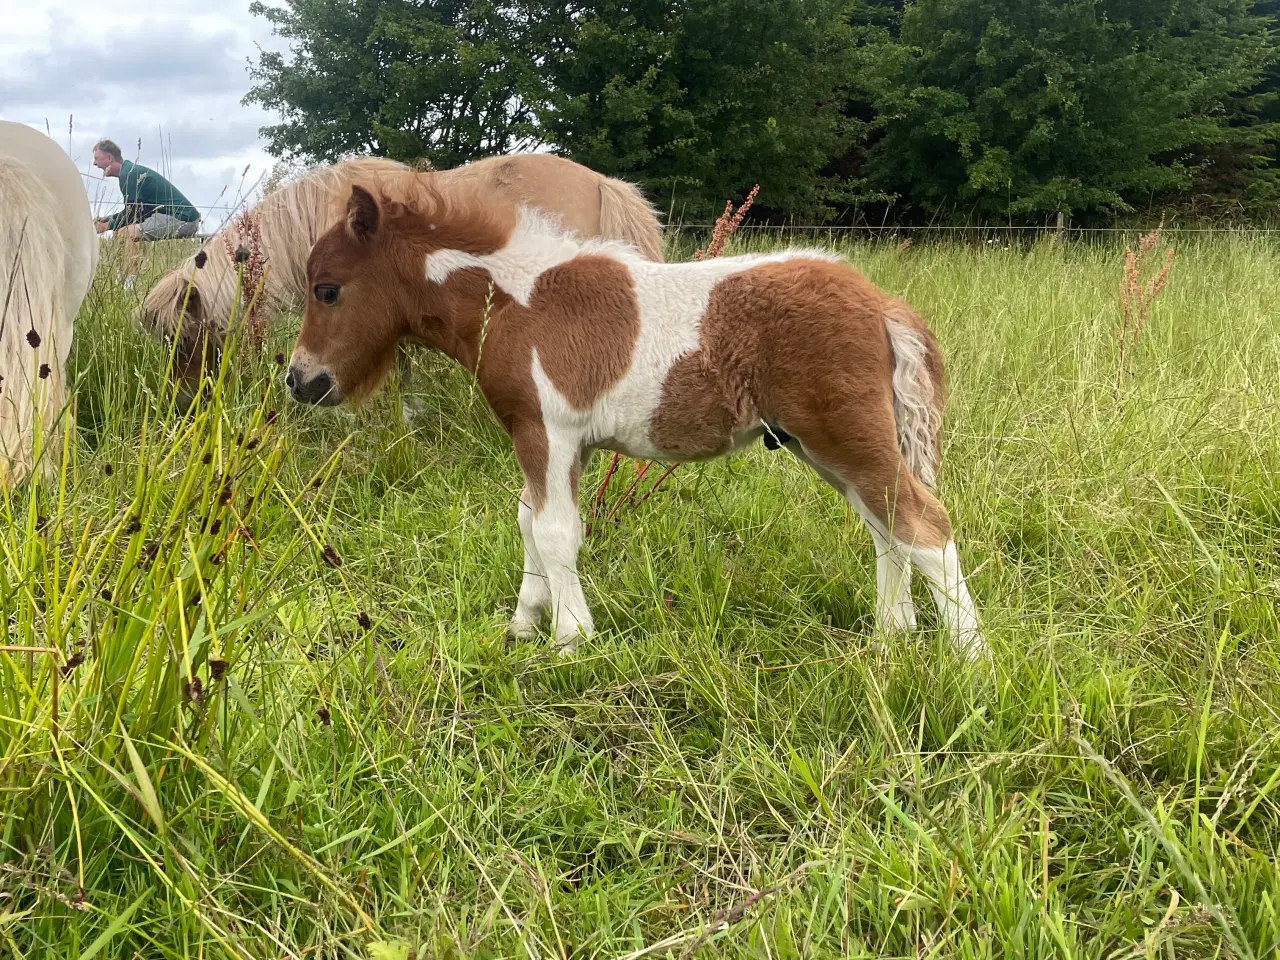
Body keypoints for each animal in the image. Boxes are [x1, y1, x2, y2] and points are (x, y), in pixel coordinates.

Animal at [285, 180, 983, 660]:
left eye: (327, 289)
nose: (300, 381)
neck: (513, 301)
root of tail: (880, 302)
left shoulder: (547, 430)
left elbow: (555, 531)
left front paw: (571, 640)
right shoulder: (566, 442)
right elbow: (529, 521)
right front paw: (523, 624)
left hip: (842, 435)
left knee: (922, 524)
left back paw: (967, 659)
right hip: (826, 443)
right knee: (885, 526)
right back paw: (892, 638)